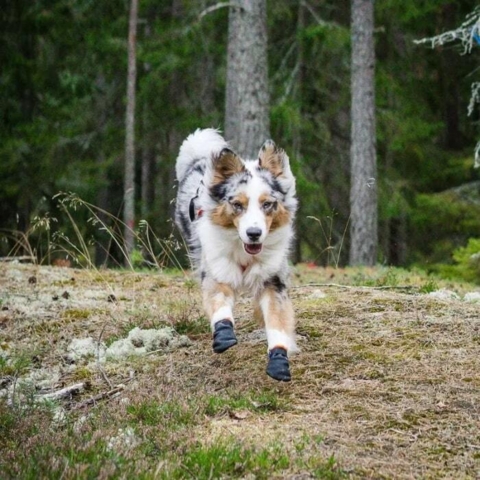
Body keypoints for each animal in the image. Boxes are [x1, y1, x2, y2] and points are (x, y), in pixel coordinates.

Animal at [174, 128, 298, 382]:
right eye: (238, 205)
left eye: (267, 204)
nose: (254, 233)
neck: (244, 253)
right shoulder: (216, 271)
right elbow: (220, 305)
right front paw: (223, 334)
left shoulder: (273, 281)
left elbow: (277, 322)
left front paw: (279, 360)